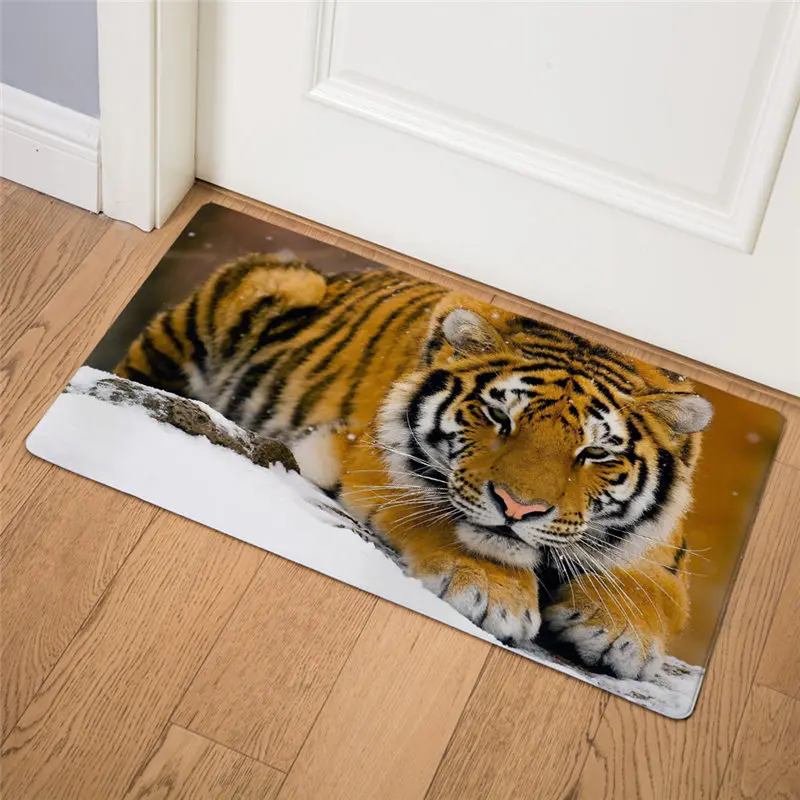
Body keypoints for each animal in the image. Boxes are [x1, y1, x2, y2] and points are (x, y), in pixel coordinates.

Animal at [116, 253, 713, 679]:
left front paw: (619, 633)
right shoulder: (373, 459)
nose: (517, 507)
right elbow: (443, 517)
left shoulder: (665, 552)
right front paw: (493, 592)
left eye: (594, 453)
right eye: (499, 417)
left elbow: (653, 590)